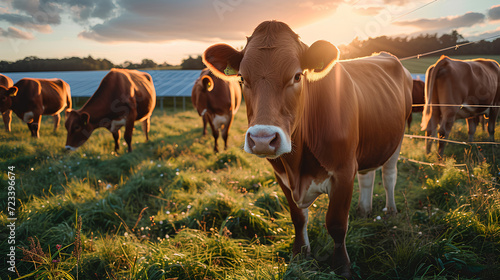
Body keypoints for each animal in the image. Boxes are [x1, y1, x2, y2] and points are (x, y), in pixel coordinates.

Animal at [201, 20, 412, 276]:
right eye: (241, 77)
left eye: (297, 76)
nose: (262, 139)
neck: (298, 166)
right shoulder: (282, 176)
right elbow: (298, 219)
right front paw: (300, 256)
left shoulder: (344, 172)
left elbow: (336, 224)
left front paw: (342, 267)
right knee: (367, 177)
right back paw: (364, 211)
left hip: (397, 139)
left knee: (389, 176)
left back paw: (390, 211)